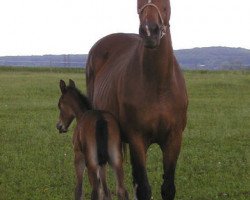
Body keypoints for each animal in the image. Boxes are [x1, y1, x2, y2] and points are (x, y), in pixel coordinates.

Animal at [86, 0, 188, 199]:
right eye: (138, 3)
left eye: (166, 3)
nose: (149, 31)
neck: (159, 85)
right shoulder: (137, 139)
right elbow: (144, 189)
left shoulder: (173, 139)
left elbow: (168, 188)